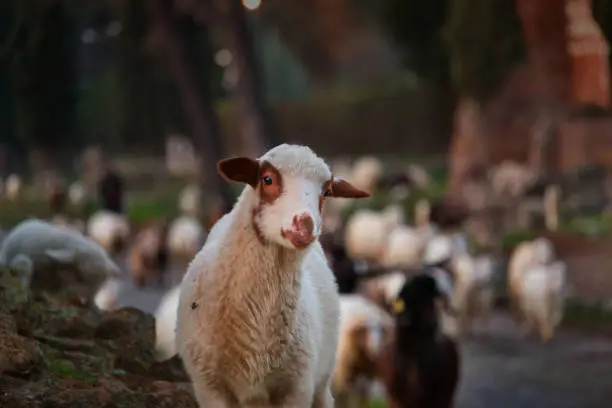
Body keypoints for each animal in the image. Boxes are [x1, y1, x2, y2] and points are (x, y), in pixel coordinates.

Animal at [175, 144, 370, 408]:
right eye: (267, 179)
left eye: (327, 191)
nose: (305, 226)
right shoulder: (210, 388)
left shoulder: (296, 388)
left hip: (322, 378)